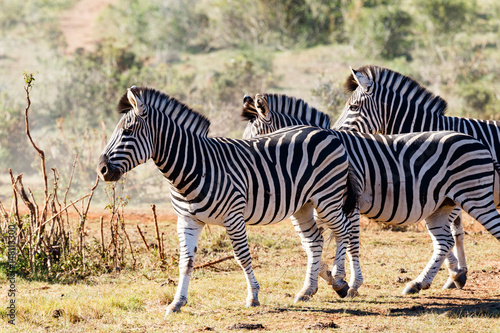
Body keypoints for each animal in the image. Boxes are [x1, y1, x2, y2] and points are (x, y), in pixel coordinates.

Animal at [95, 85, 360, 314]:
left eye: (128, 132)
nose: (102, 169)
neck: (195, 165)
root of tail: (326, 132)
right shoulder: (187, 220)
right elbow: (186, 262)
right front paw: (177, 303)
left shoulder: (233, 216)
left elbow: (242, 257)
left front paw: (253, 296)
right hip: (303, 205)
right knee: (315, 241)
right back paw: (307, 290)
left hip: (327, 197)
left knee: (343, 230)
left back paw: (340, 281)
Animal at [241, 93, 500, 296]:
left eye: (255, 141)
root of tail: (478, 142)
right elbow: (313, 242)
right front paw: (330, 275)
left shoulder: (348, 203)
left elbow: (350, 242)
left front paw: (350, 283)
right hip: (443, 203)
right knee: (445, 240)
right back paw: (420, 283)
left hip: (475, 197)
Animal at [334, 65, 500, 288]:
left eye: (353, 107)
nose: (333, 133)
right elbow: (454, 232)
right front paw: (457, 273)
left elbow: (451, 233)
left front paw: (455, 272)